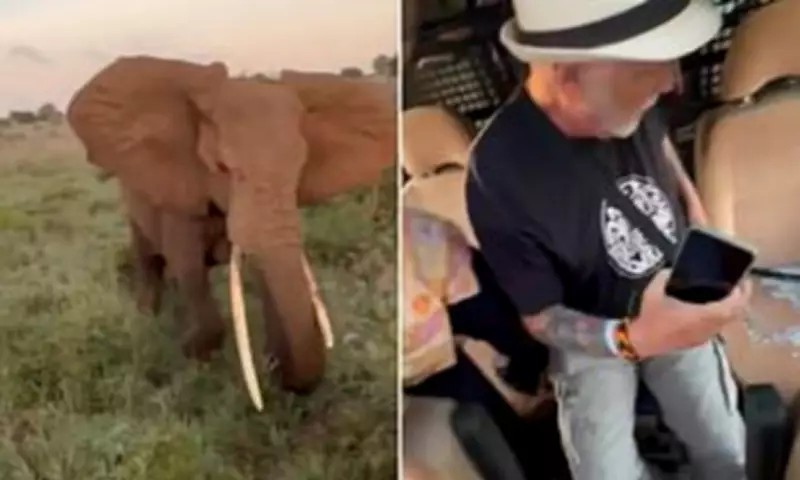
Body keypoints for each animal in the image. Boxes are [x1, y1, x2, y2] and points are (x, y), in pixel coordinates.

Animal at [65, 55, 396, 396]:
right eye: (223, 167)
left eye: (300, 167)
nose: (274, 366)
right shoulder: (183, 194)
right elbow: (189, 268)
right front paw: (192, 354)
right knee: (149, 258)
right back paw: (149, 317)